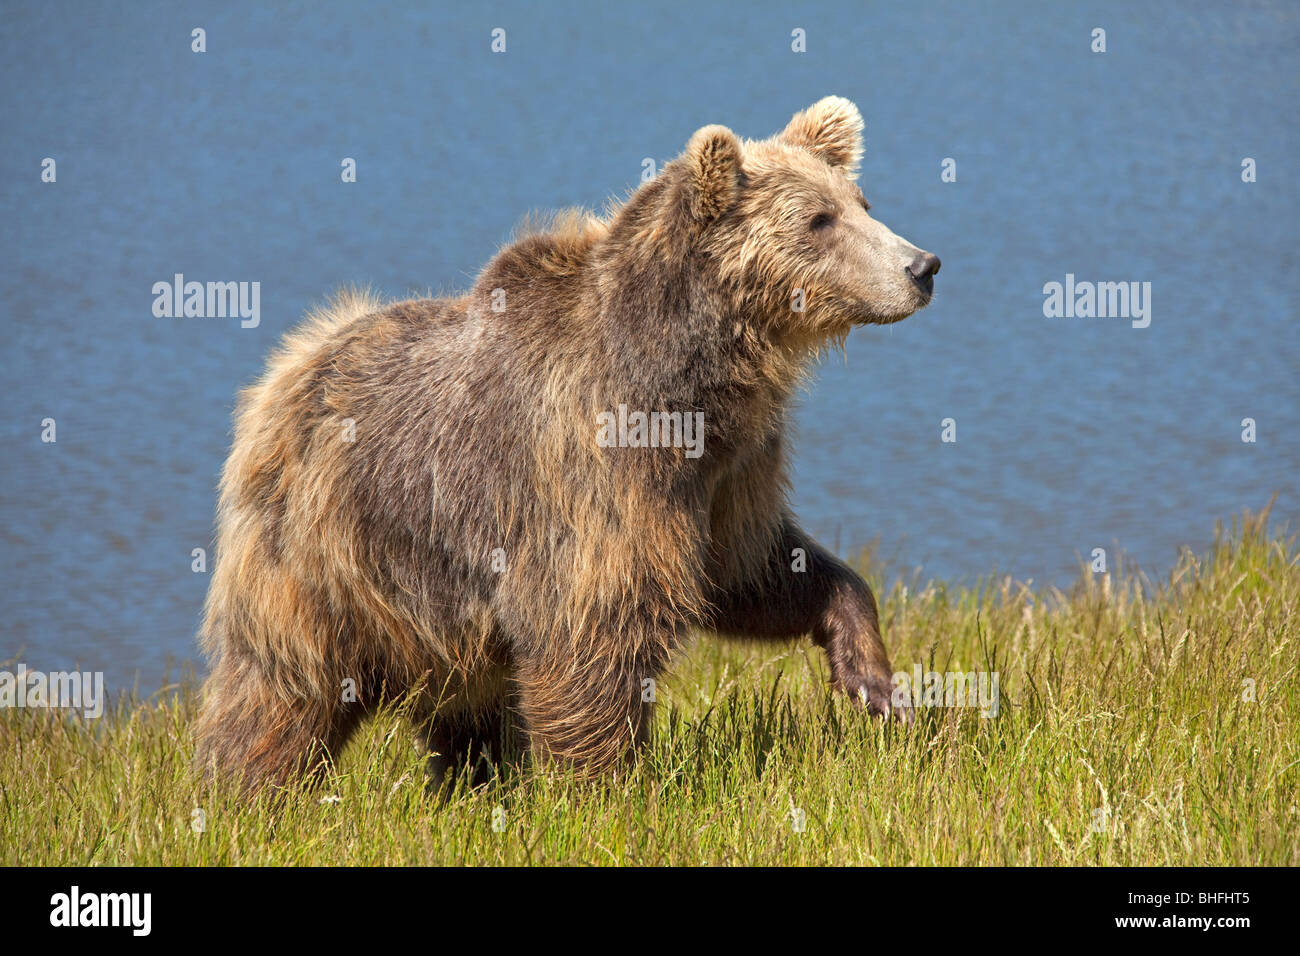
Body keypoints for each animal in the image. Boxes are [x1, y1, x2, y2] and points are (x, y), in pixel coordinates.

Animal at [193, 95, 940, 793]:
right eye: (819, 219)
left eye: (862, 203)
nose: (923, 265)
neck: (692, 384)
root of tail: (288, 367)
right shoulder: (591, 469)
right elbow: (591, 629)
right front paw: (608, 787)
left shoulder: (729, 471)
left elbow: (752, 568)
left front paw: (875, 681)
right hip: (329, 548)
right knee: (283, 687)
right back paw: (246, 791)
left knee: (467, 703)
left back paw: (472, 778)